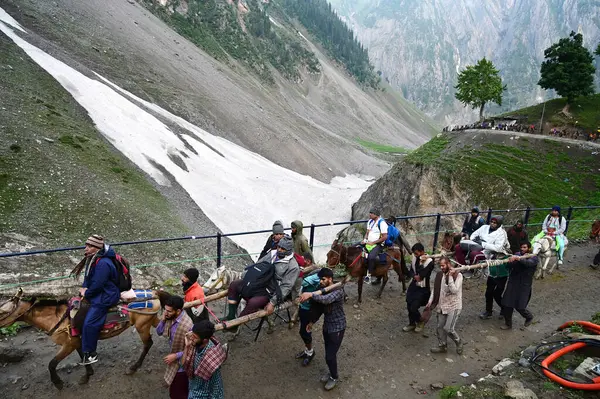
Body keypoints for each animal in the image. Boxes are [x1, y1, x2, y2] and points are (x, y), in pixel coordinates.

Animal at [0, 290, 169, 390]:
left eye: (2, 311)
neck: (58, 317)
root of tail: (153, 293)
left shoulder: (68, 344)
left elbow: (52, 364)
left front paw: (58, 383)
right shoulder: (77, 342)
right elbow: (84, 357)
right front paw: (87, 376)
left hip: (142, 326)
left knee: (148, 344)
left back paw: (133, 368)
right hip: (152, 320)